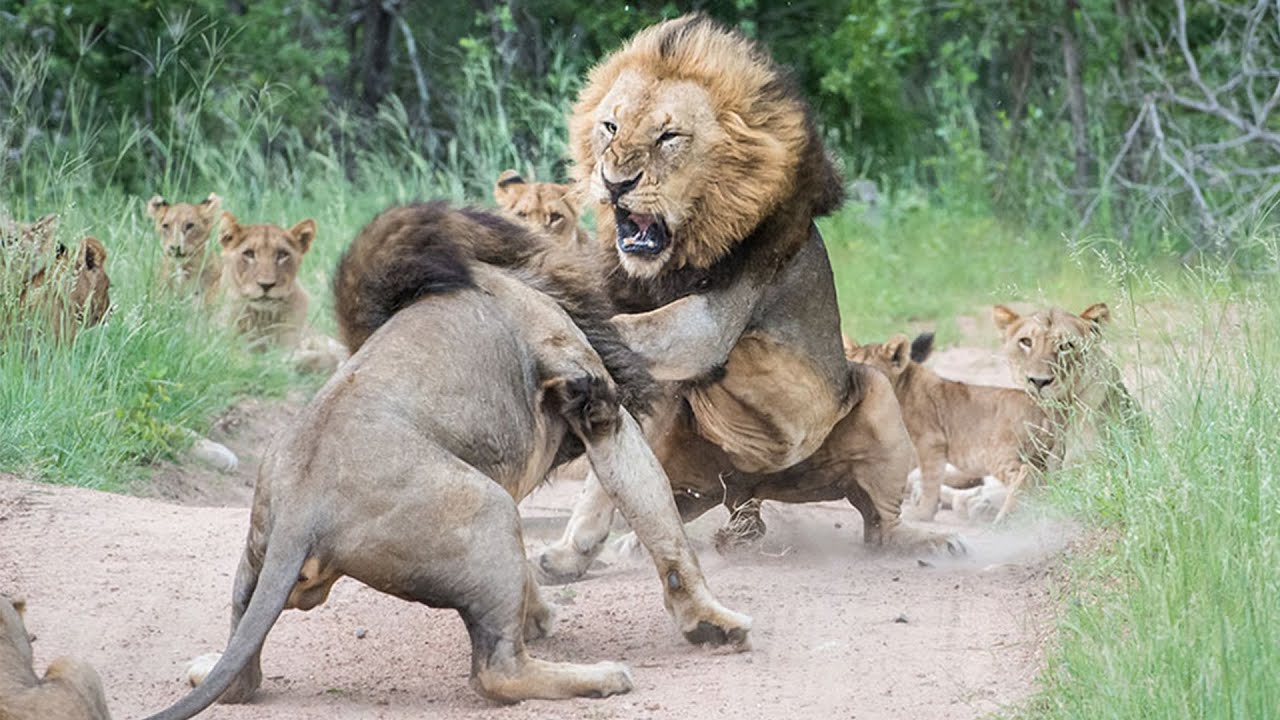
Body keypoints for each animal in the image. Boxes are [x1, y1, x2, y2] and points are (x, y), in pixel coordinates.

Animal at [142, 202, 749, 720]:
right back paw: (602, 676)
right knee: (497, 673)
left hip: (256, 555)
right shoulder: (599, 405)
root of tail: (301, 509)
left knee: (242, 677)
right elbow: (661, 525)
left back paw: (205, 670)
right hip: (488, 509)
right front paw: (712, 624)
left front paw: (539, 613)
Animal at [537, 14, 958, 579]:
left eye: (669, 136)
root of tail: (753, 489)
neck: (675, 255)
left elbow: (631, 329)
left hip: (875, 393)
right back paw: (627, 546)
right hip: (693, 465)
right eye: (610, 127)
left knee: (880, 527)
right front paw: (569, 554)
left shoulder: (711, 324)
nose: (614, 182)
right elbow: (606, 474)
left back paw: (932, 541)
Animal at [846, 333, 1058, 523]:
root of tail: (1042, 410)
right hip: (1038, 458)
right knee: (1040, 484)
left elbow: (930, 480)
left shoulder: (931, 442)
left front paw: (923, 513)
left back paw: (1003, 517)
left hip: (998, 453)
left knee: (1023, 474)